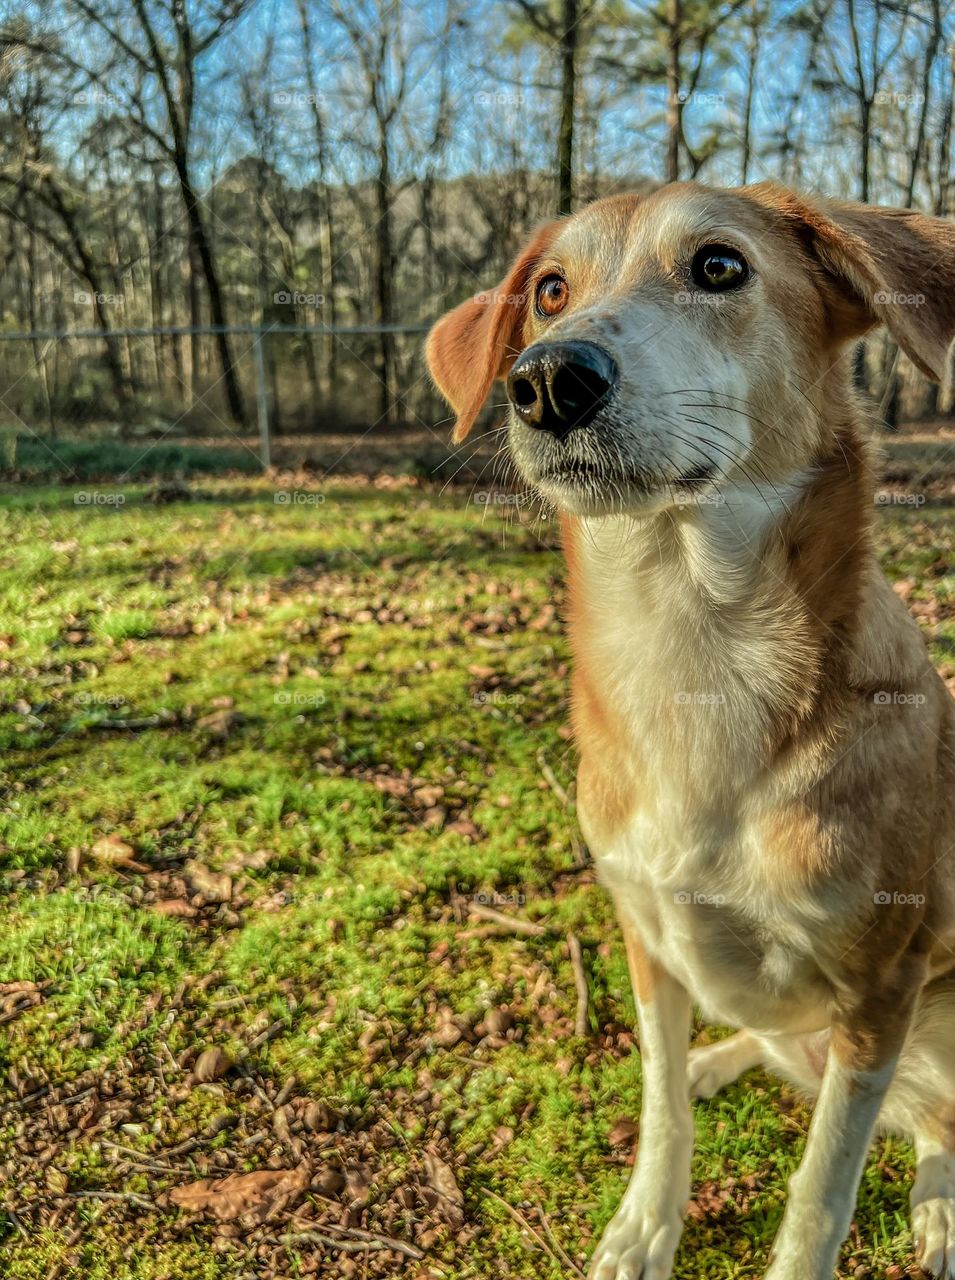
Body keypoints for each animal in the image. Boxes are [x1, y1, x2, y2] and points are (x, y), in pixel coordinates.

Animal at [425, 183, 952, 1280]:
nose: (548, 381)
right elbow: (662, 1108)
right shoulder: (645, 935)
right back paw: (723, 1058)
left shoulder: (883, 983)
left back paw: (937, 1204)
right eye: (548, 290)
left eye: (719, 267)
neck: (688, 650)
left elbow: (820, 1190)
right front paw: (643, 1225)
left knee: (937, 1120)